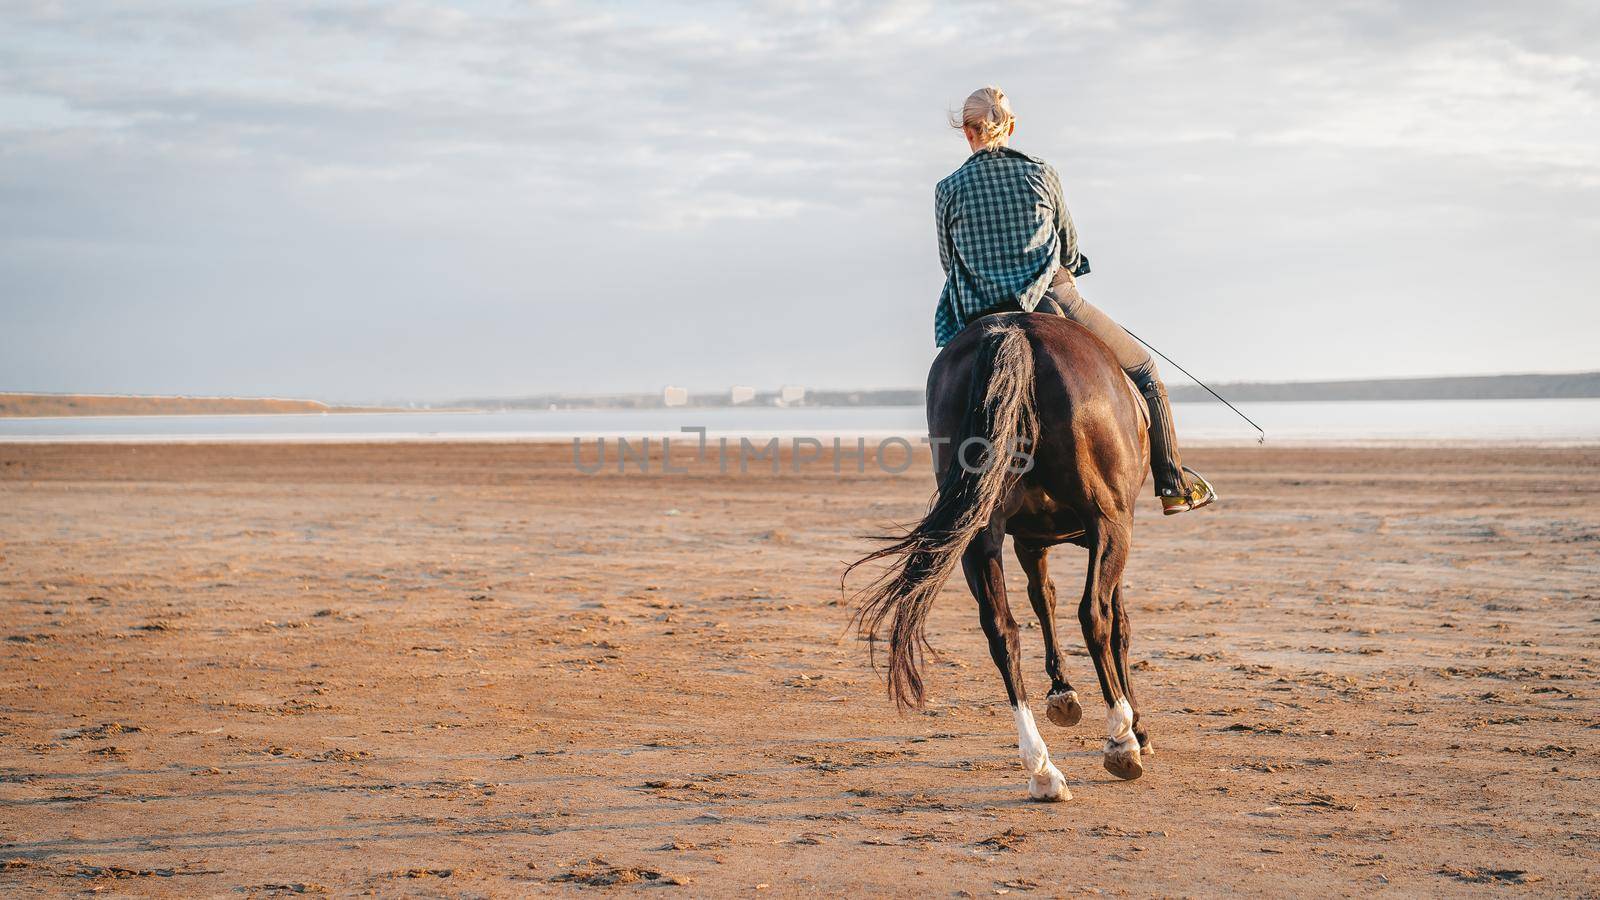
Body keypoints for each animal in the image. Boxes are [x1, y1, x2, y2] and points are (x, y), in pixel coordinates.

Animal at [851, 310, 1152, 797]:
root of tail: (1015, 329)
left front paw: (1062, 692)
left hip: (979, 534)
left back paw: (1042, 768)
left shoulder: (1030, 542)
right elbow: (1117, 625)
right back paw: (1120, 739)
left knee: (1001, 630)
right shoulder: (1109, 531)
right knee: (1094, 615)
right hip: (1109, 523)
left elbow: (1043, 599)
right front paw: (1137, 727)